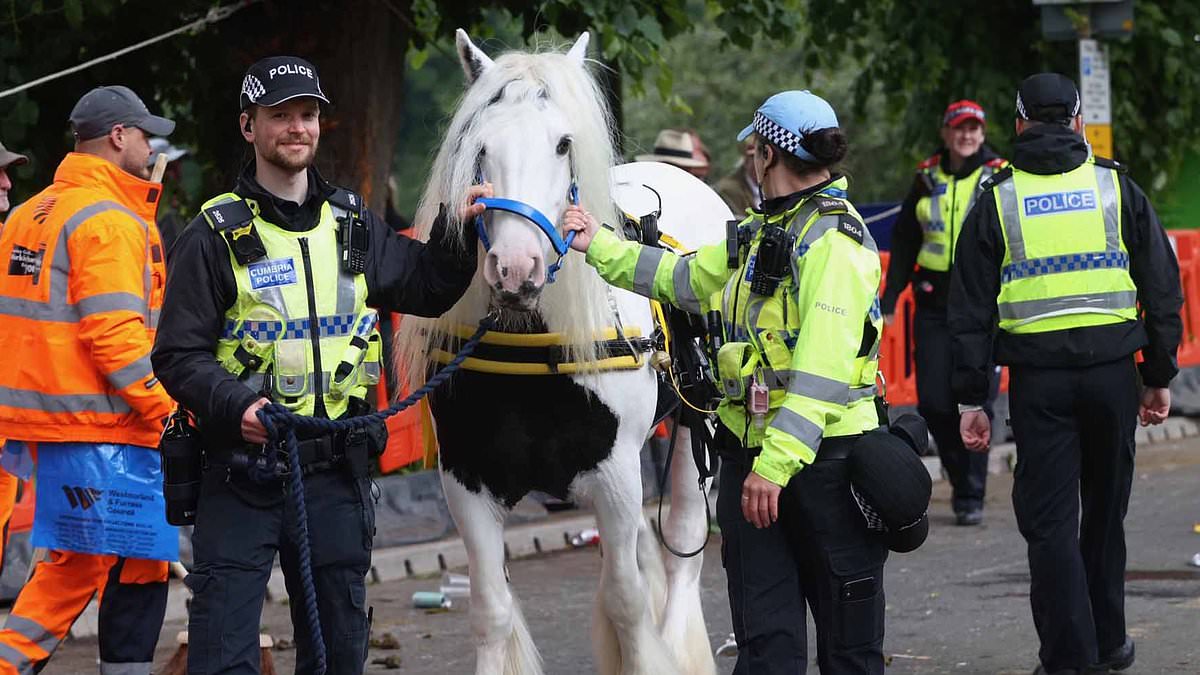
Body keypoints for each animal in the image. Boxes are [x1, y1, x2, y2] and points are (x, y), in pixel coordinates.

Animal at [398, 31, 724, 672]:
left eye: (563, 144)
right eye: (479, 146)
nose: (514, 269)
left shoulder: (616, 477)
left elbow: (625, 601)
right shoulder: (465, 481)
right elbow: (492, 611)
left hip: (698, 432)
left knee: (681, 549)